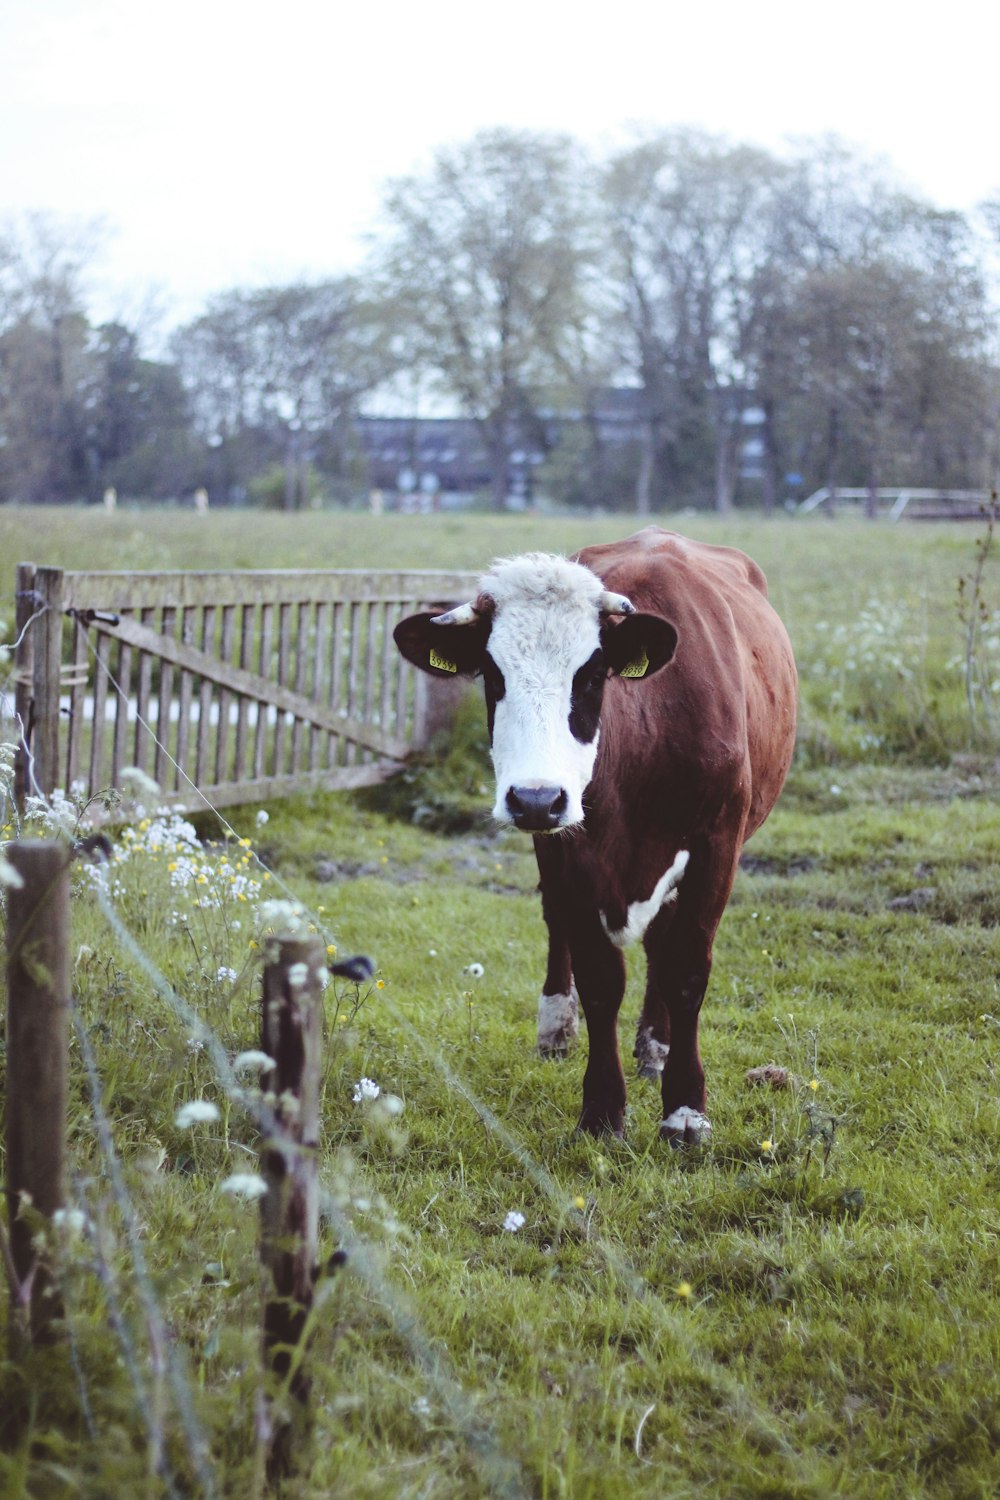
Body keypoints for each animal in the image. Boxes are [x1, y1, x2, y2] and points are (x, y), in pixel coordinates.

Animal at [392, 522, 797, 1140]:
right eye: (492, 675)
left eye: (590, 676)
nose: (536, 797)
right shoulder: (567, 853)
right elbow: (600, 977)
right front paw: (603, 1111)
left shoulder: (717, 846)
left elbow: (685, 969)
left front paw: (684, 1109)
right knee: (559, 925)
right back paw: (557, 1027)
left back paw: (655, 1047)